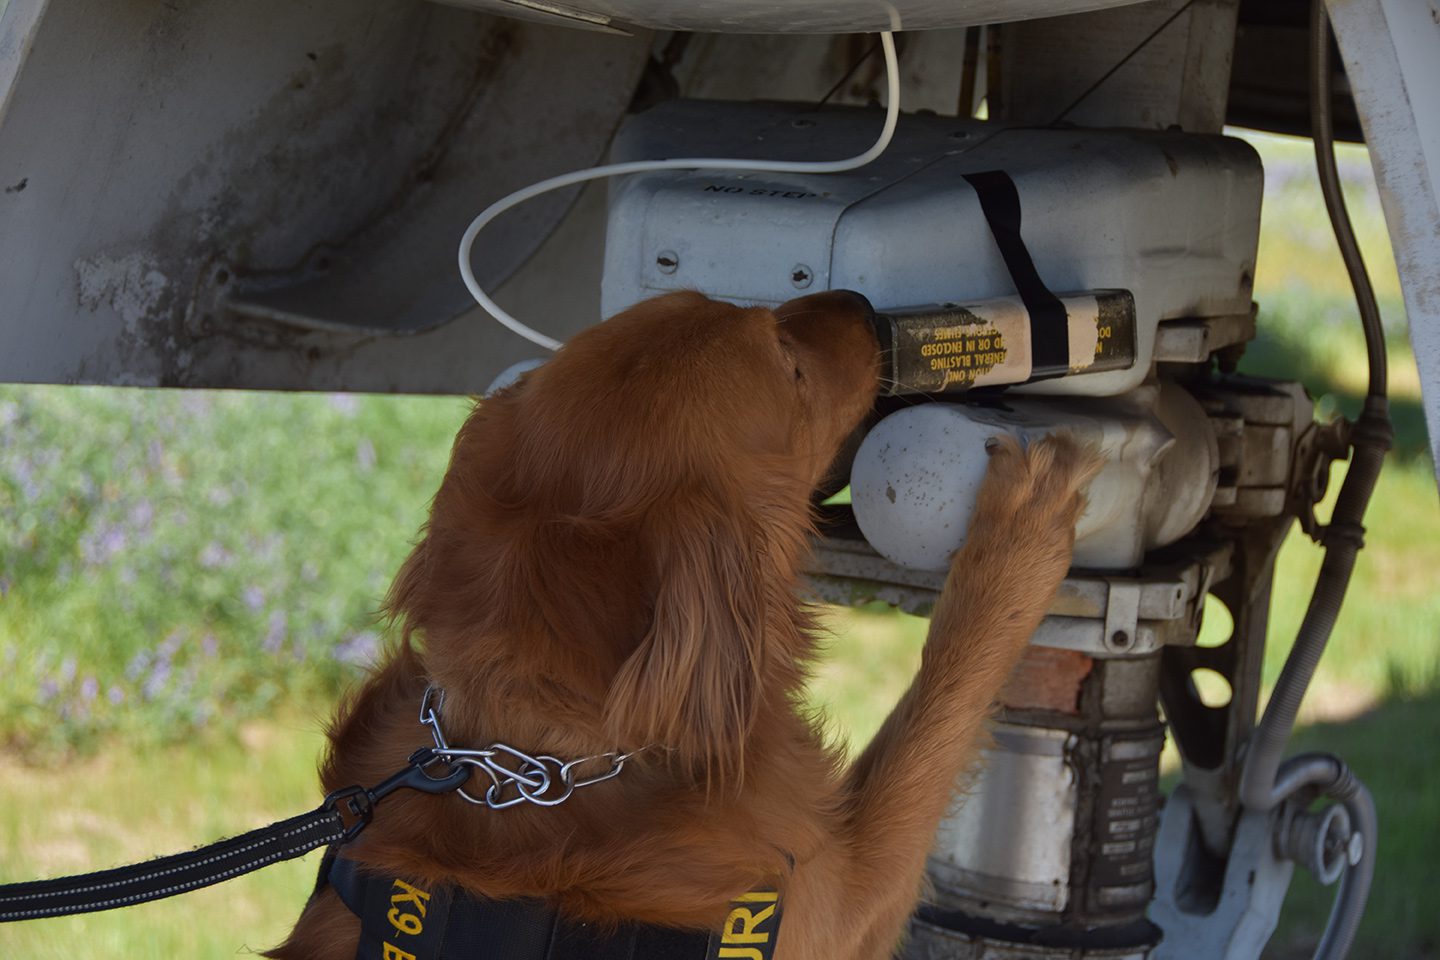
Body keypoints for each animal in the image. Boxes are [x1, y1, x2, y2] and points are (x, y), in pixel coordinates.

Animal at [270, 290, 1094, 960]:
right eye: (790, 366)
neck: (544, 760)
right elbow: (938, 711)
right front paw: (1019, 534)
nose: (863, 305)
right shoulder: (843, 904)